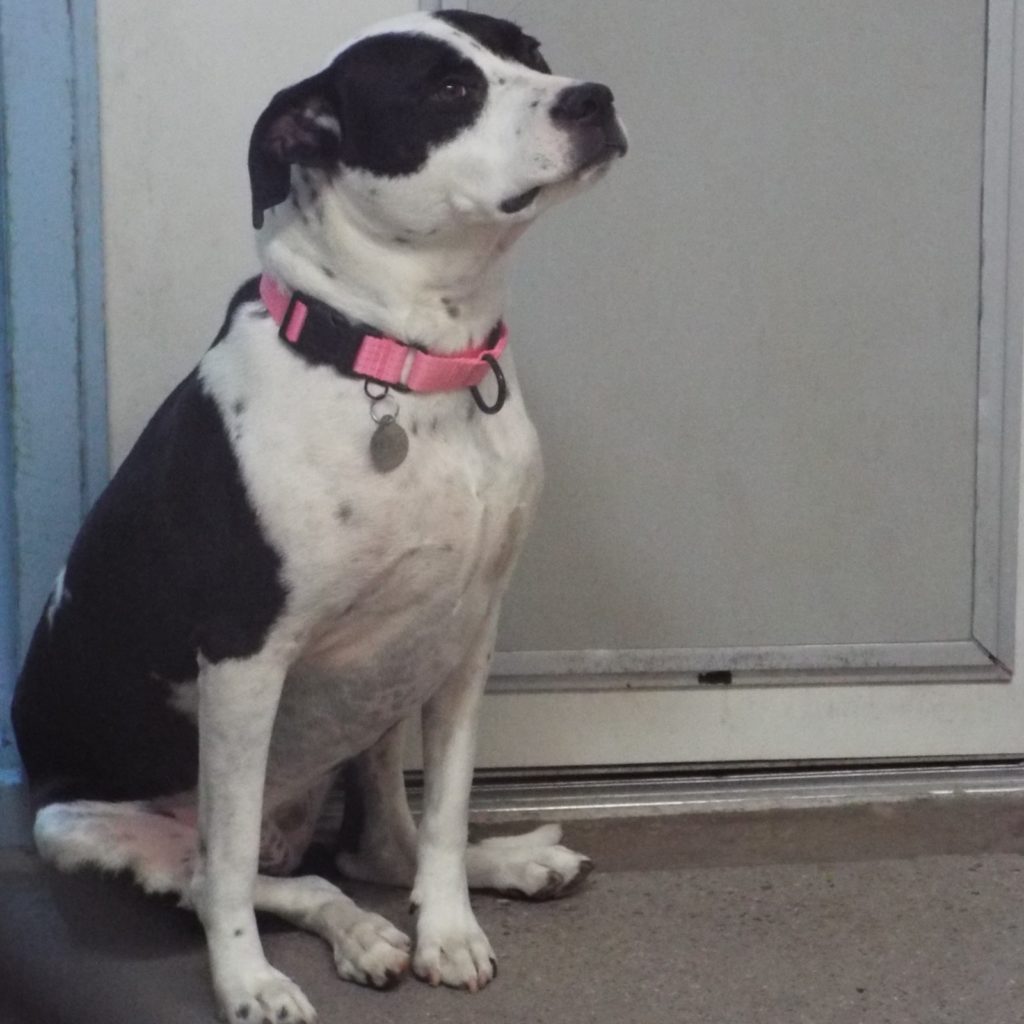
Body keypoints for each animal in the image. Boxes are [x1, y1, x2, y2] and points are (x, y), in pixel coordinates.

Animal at [12, 10, 626, 1022]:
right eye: (448, 90)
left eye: (530, 52)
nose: (594, 98)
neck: (410, 364)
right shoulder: (242, 661)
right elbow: (225, 875)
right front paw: (247, 982)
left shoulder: (469, 637)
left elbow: (446, 811)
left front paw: (450, 928)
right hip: (77, 819)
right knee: (232, 873)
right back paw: (355, 933)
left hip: (383, 697)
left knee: (374, 848)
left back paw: (498, 868)